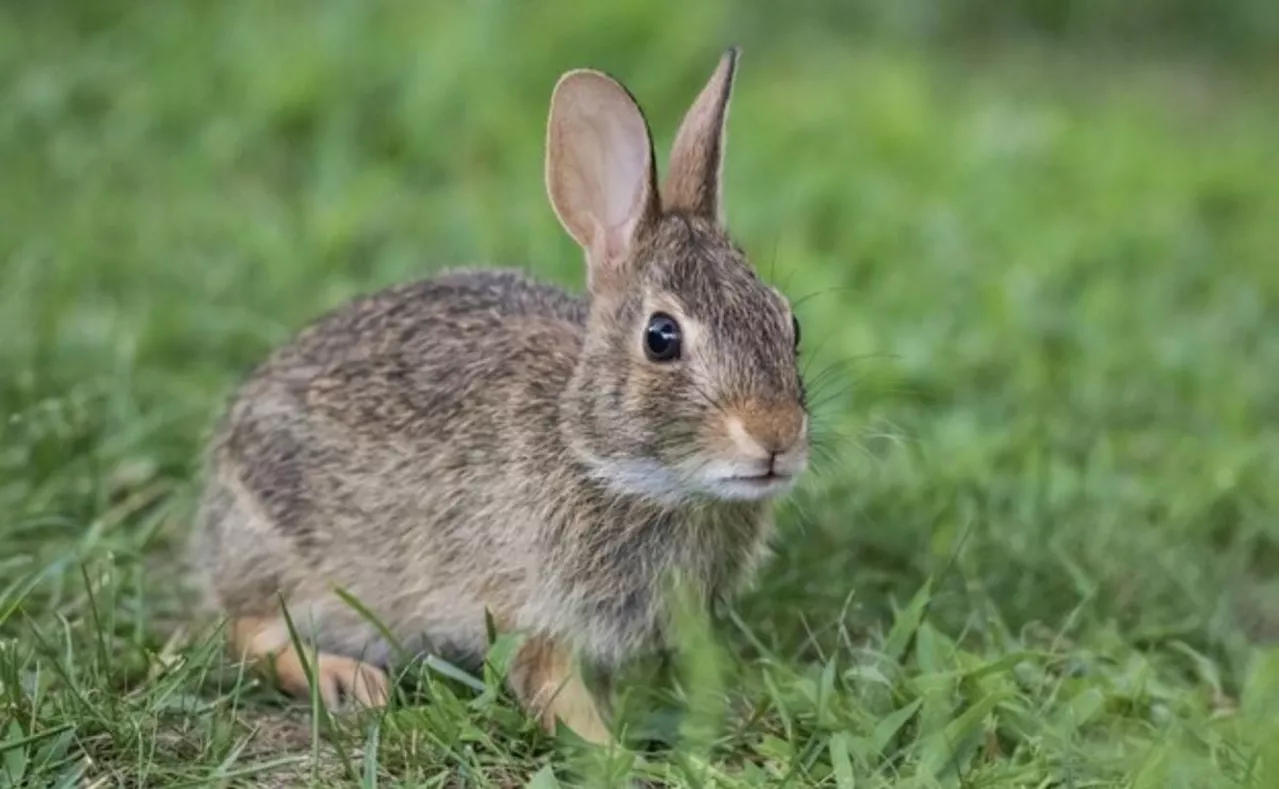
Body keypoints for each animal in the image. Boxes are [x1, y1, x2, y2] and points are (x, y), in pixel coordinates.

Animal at [186, 49, 808, 748]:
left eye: (789, 324)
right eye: (661, 337)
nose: (777, 438)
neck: (606, 461)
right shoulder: (532, 609)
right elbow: (554, 689)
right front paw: (616, 754)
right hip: (286, 557)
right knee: (248, 629)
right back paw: (348, 680)